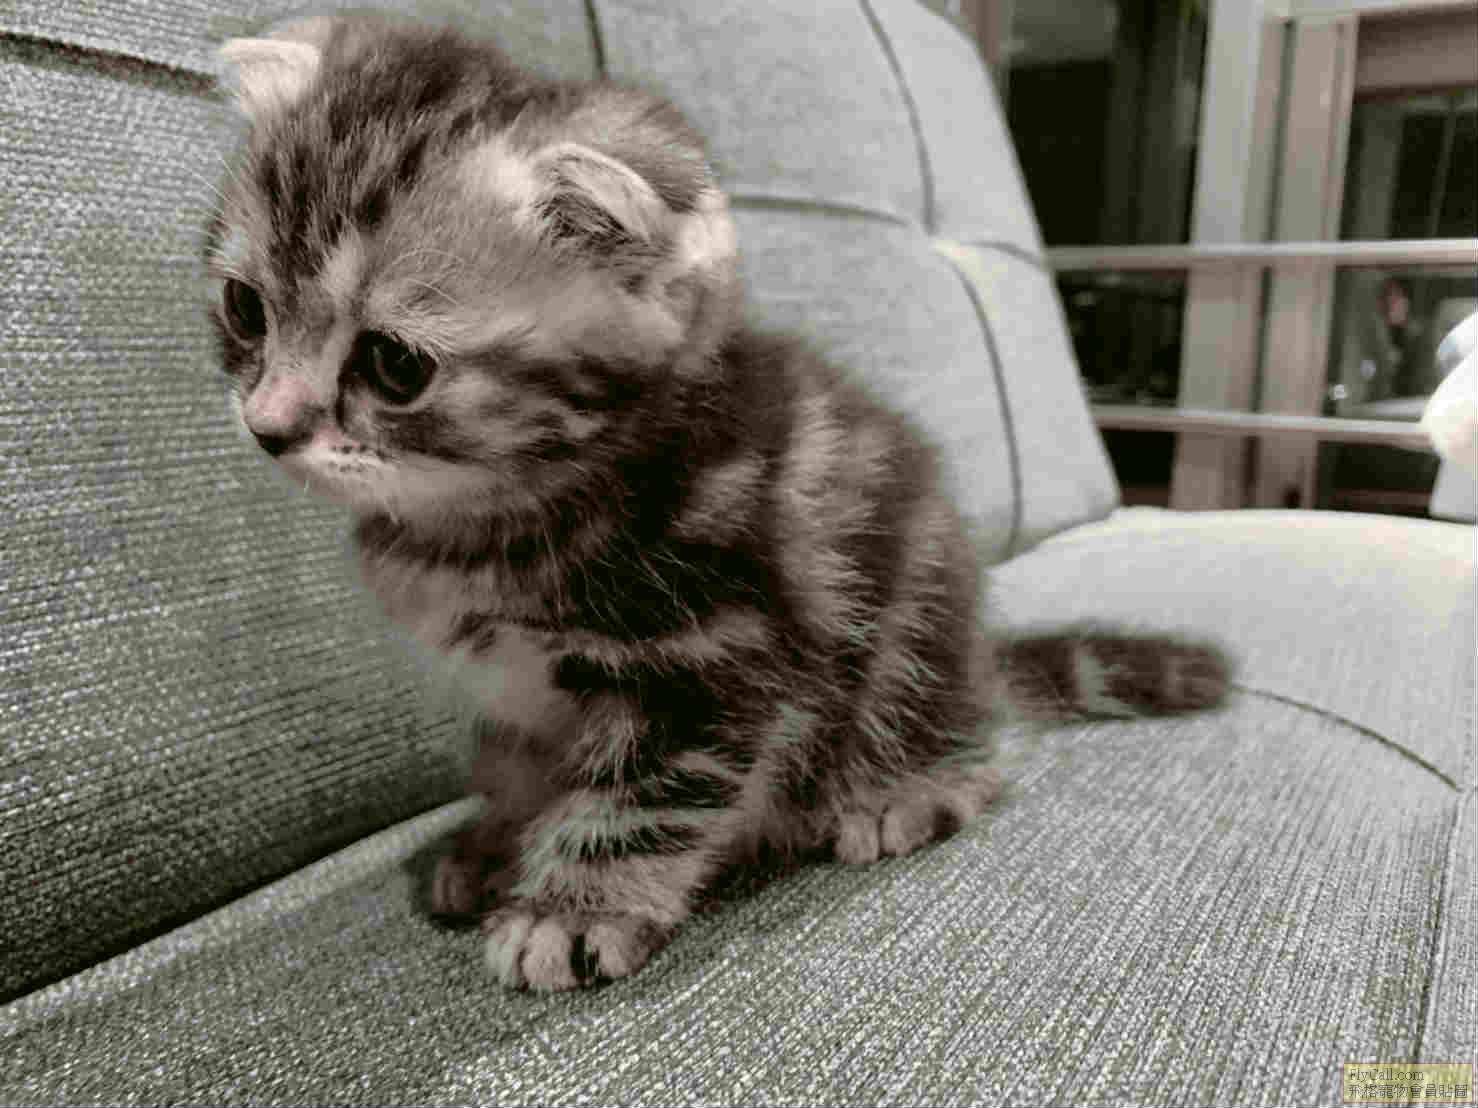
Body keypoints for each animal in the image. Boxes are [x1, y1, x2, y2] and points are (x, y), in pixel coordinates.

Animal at [206, 13, 1230, 992]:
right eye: (245, 309)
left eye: (395, 363)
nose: (268, 425)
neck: (497, 512)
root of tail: (978, 658)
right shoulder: (514, 699)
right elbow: (520, 769)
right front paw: (498, 846)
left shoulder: (716, 657)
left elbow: (644, 799)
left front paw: (570, 909)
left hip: (913, 628)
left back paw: (907, 789)